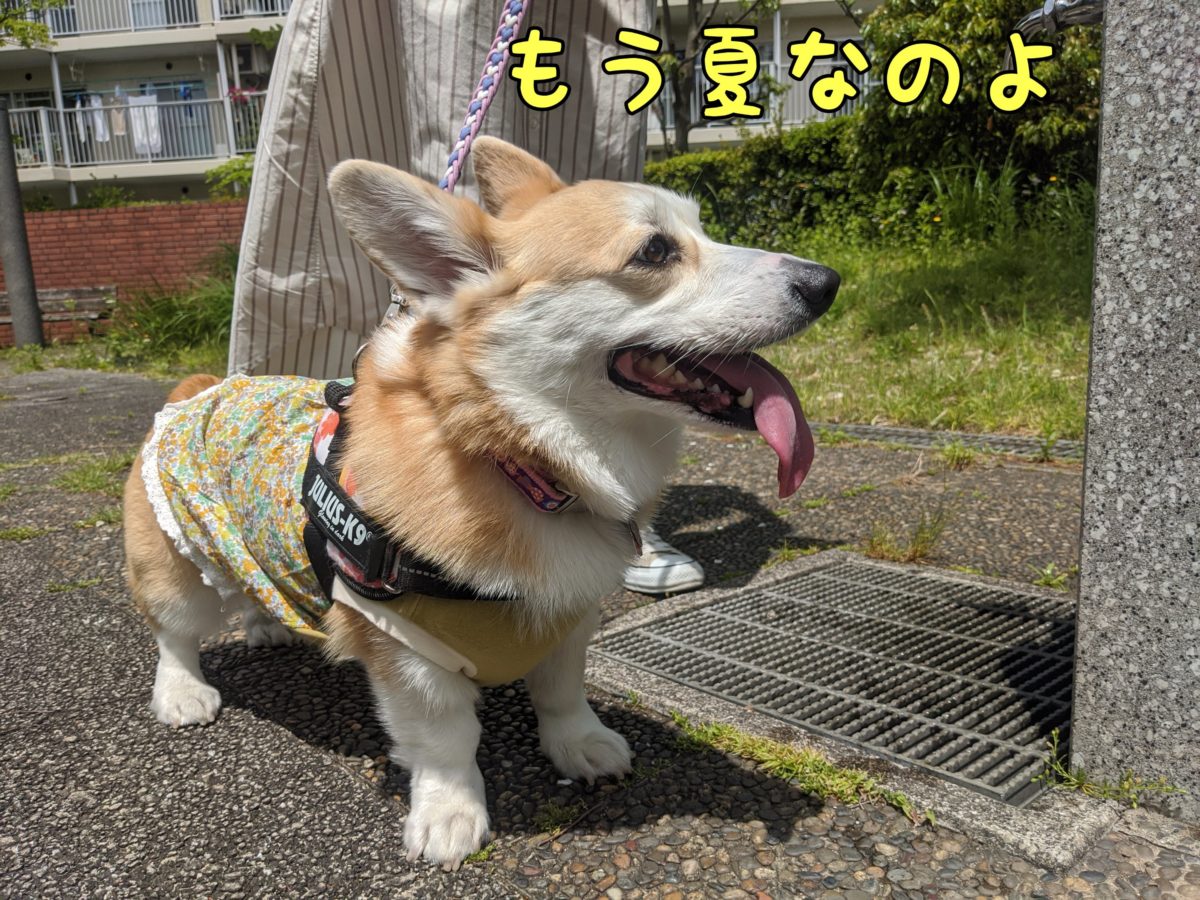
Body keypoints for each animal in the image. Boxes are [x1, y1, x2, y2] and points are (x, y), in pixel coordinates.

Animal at [123, 137, 839, 867]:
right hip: (175, 573)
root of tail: (201, 390)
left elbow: (562, 693)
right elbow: (445, 741)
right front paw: (449, 819)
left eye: (702, 229)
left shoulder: (568, 618)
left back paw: (269, 625)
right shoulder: (408, 651)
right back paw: (183, 693)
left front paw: (583, 747)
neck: (523, 466)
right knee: (174, 632)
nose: (826, 283)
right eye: (656, 251)